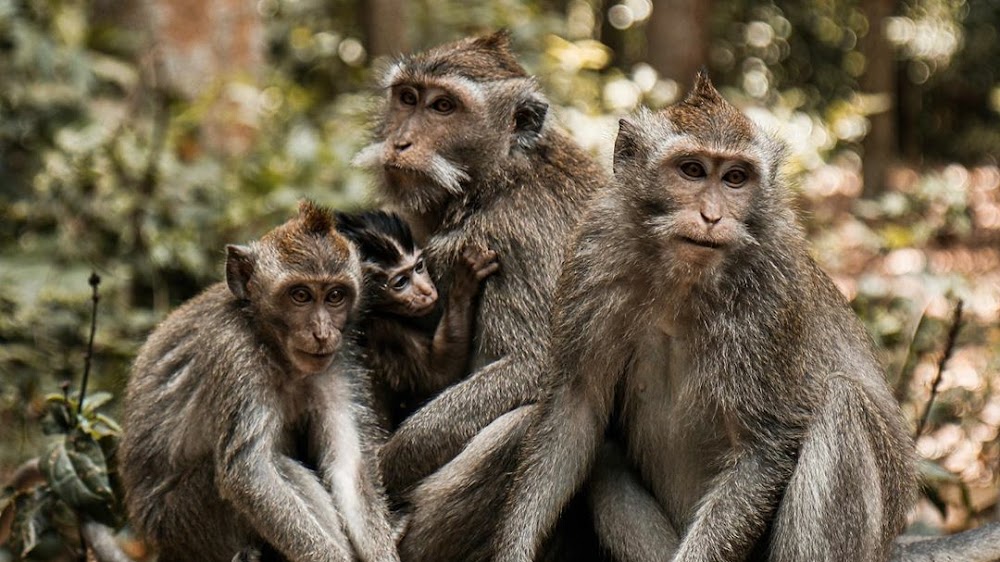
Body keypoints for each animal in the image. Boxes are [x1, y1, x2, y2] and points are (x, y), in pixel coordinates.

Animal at [118, 201, 400, 562]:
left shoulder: (336, 364)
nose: (322, 333)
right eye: (300, 295)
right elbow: (250, 473)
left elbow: (349, 468)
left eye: (335, 296)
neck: (273, 346)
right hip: (182, 521)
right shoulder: (235, 356)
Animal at [334, 209, 499, 431]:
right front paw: (463, 284)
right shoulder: (384, 329)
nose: (427, 291)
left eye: (419, 267)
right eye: (401, 282)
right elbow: (438, 376)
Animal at [352, 30, 606, 560]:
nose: (400, 142)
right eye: (408, 98)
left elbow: (540, 366)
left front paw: (386, 466)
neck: (495, 181)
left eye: (444, 107)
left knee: (520, 423)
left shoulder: (518, 240)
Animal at [492, 72, 918, 562]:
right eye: (692, 170)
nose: (712, 216)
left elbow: (762, 449)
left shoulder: (774, 293)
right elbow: (575, 409)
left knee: (842, 403)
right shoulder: (591, 257)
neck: (682, 280)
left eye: (735, 178)